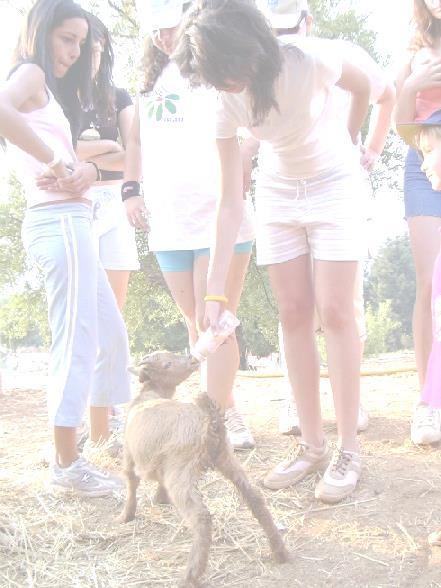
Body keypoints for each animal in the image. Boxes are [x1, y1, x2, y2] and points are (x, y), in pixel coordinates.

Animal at [118, 352, 288, 584]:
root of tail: (211, 421)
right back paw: (280, 551)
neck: (148, 395)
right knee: (255, 498)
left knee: (201, 517)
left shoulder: (129, 455)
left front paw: (125, 516)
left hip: (181, 471)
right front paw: (160, 498)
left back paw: (190, 576)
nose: (192, 358)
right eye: (167, 363)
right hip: (227, 458)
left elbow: (131, 484)